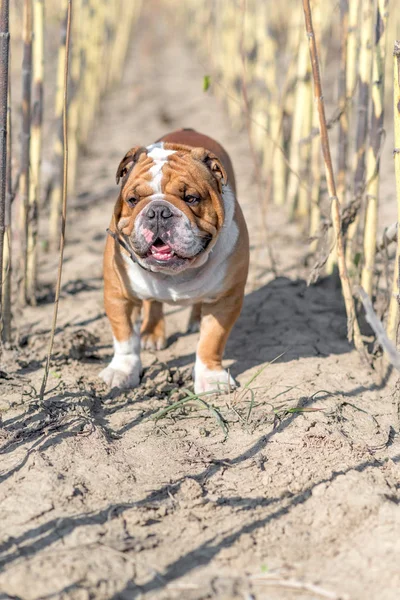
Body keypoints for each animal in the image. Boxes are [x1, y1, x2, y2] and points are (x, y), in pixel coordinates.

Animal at [99, 129, 248, 394]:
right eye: (133, 199)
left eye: (191, 198)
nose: (158, 211)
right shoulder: (119, 294)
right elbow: (124, 336)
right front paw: (122, 371)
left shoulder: (226, 299)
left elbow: (212, 340)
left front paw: (211, 378)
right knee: (152, 302)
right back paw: (151, 333)